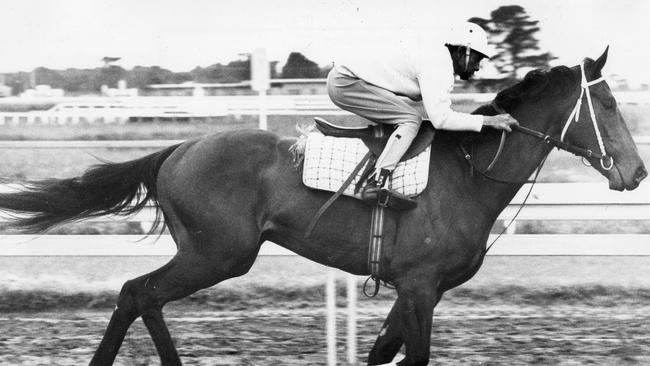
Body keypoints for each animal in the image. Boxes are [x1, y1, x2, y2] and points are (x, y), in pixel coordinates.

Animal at [0, 47, 644, 364]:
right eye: (608, 104)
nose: (636, 173)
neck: (468, 174)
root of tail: (180, 147)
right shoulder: (419, 284)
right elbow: (413, 357)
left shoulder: (420, 287)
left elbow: (383, 353)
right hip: (218, 254)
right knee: (139, 292)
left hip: (213, 254)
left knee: (143, 296)